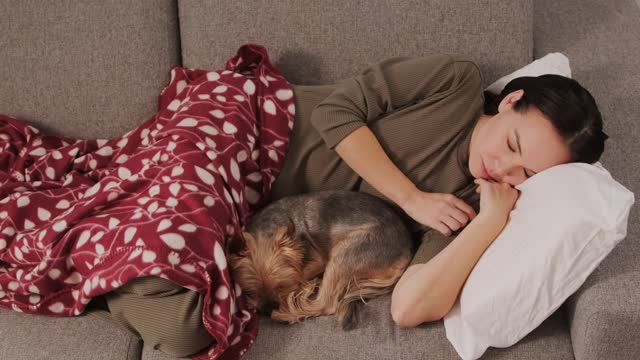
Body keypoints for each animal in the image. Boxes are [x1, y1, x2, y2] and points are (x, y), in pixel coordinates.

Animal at [225, 190, 416, 330]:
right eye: (251, 290)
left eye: (282, 286)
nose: (266, 309)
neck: (266, 233)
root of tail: (407, 250)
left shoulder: (318, 260)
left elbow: (300, 275)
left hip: (345, 254)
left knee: (326, 304)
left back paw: (286, 314)